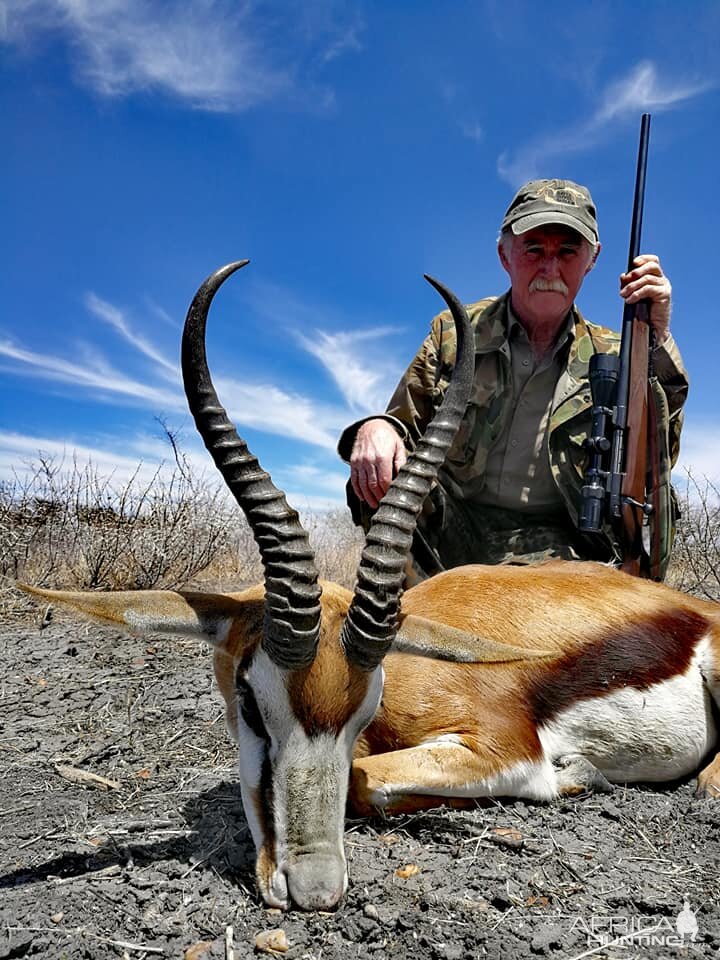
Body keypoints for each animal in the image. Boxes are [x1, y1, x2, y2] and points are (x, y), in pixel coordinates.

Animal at [22, 262, 720, 916]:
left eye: (364, 709)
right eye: (248, 700)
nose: (314, 887)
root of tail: (693, 610)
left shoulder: (506, 748)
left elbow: (364, 780)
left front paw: (572, 776)